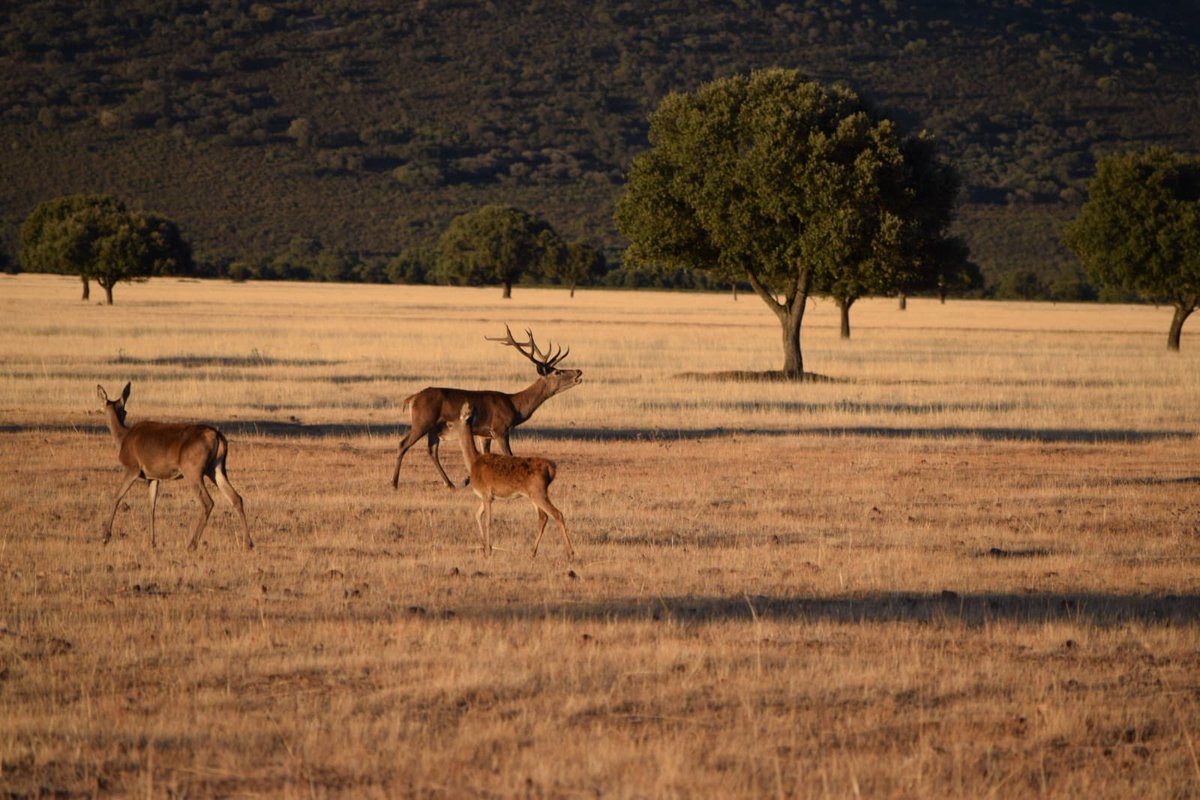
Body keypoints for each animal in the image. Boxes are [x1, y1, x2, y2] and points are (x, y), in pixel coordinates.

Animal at [96, 383, 253, 551]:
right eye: (124, 410)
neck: (123, 438)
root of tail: (216, 435)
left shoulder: (133, 467)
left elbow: (117, 496)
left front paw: (105, 536)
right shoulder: (153, 476)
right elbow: (151, 506)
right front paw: (152, 542)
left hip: (192, 470)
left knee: (208, 502)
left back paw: (192, 544)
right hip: (217, 468)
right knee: (236, 498)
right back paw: (248, 543)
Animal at [391, 326, 583, 489]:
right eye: (557, 372)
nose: (579, 371)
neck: (515, 406)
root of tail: (412, 398)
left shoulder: (485, 434)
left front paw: (468, 479)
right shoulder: (500, 429)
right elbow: (510, 455)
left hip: (434, 427)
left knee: (432, 450)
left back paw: (450, 483)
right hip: (422, 420)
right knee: (403, 444)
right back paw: (394, 483)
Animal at [453, 400, 576, 563]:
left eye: (450, 424)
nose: (438, 433)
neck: (473, 462)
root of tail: (551, 469)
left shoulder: (487, 494)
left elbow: (487, 521)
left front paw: (488, 552)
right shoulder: (488, 497)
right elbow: (477, 515)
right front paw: (485, 548)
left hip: (538, 492)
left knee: (557, 514)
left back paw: (570, 554)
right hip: (533, 494)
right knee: (543, 517)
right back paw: (532, 552)